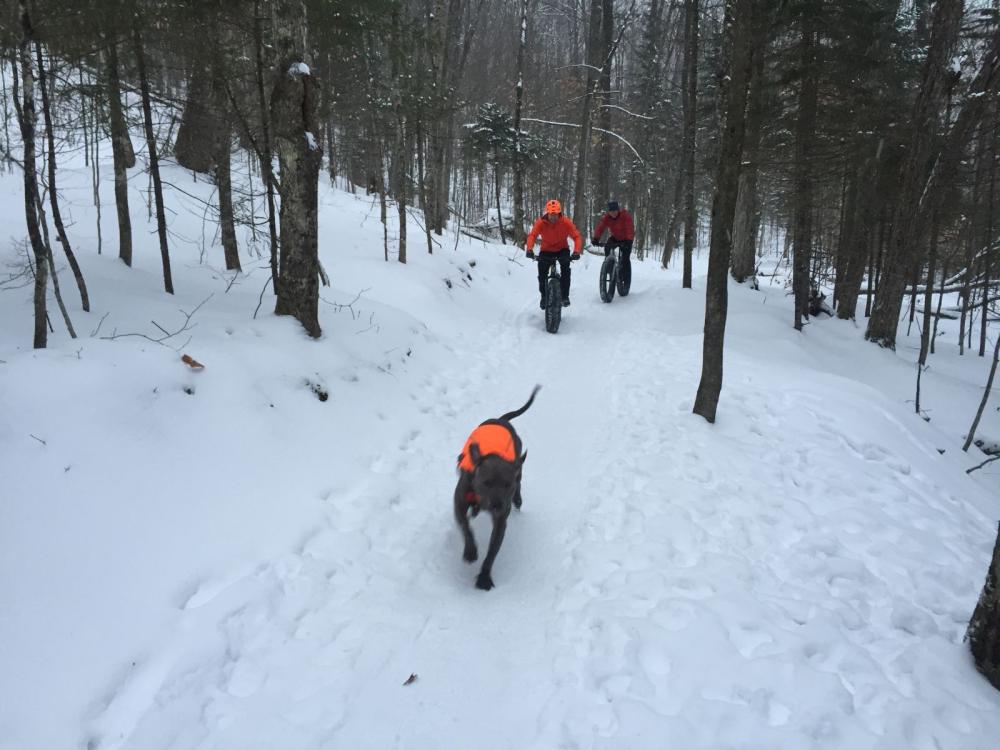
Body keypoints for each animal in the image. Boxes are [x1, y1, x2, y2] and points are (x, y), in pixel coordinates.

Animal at [454, 388, 540, 592]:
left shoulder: (501, 521)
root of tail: (502, 419)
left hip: (519, 467)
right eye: (487, 482)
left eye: (507, 485)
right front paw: (470, 550)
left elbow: (492, 551)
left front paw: (484, 577)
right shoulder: (459, 501)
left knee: (520, 482)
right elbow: (465, 526)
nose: (497, 505)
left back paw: (518, 500)